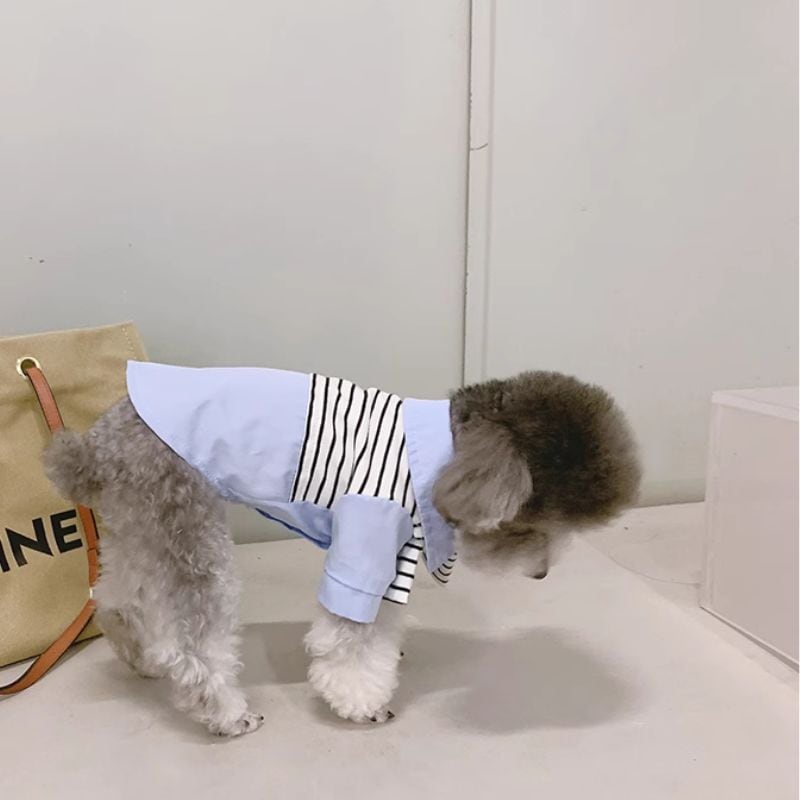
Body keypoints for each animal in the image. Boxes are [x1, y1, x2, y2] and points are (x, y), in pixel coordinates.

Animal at [44, 363, 640, 736]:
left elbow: (381, 626)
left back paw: (138, 654)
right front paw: (360, 703)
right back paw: (226, 712)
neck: (443, 458)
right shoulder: (368, 541)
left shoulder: (394, 560)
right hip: (187, 530)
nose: (542, 575)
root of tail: (96, 447)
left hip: (141, 528)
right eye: (528, 527)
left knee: (115, 597)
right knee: (194, 647)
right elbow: (349, 641)